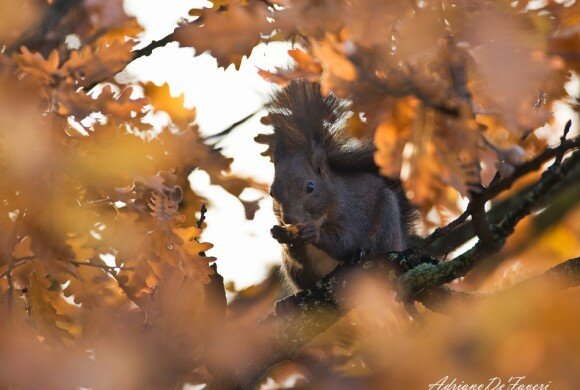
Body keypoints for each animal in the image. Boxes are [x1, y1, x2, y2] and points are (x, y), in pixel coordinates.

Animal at [268, 79, 416, 290]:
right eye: (272, 193)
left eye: (310, 187)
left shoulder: (351, 214)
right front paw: (281, 234)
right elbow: (299, 257)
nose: (288, 219)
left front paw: (315, 233)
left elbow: (344, 241)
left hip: (386, 226)